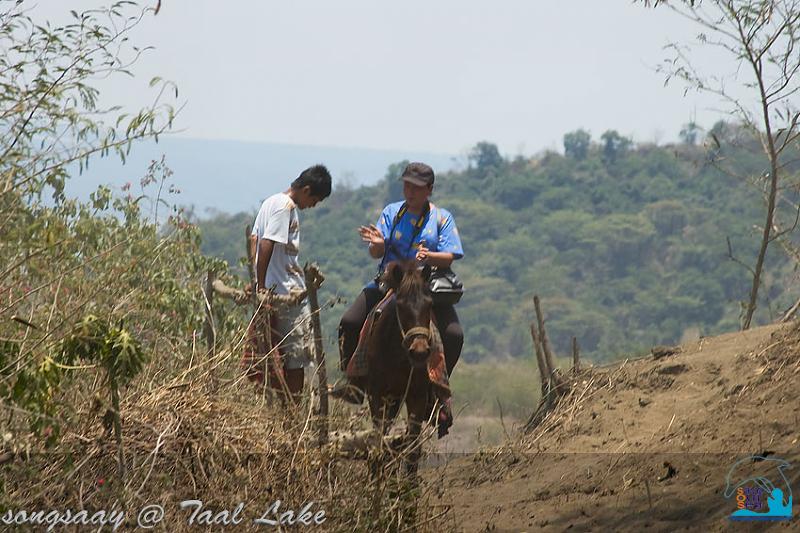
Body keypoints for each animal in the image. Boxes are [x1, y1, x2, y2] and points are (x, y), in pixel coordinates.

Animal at [364, 260, 434, 472]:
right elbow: (378, 442)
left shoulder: (417, 395)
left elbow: (413, 446)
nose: (419, 351)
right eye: (401, 305)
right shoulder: (376, 393)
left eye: (430, 304)